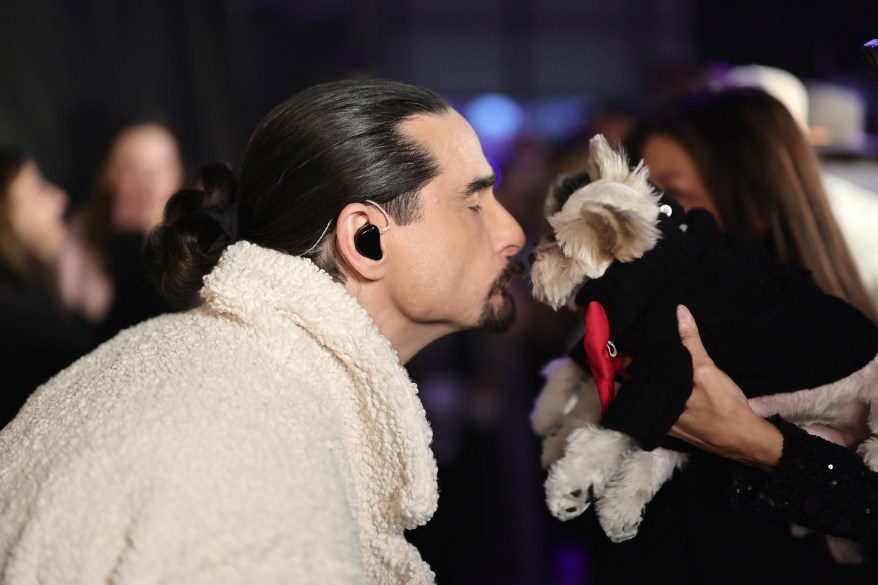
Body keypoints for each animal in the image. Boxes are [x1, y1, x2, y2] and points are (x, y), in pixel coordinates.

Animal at [528, 132, 878, 560]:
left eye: (563, 250)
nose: (532, 257)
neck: (654, 279)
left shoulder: (665, 382)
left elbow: (609, 436)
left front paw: (572, 487)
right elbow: (640, 449)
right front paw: (615, 507)